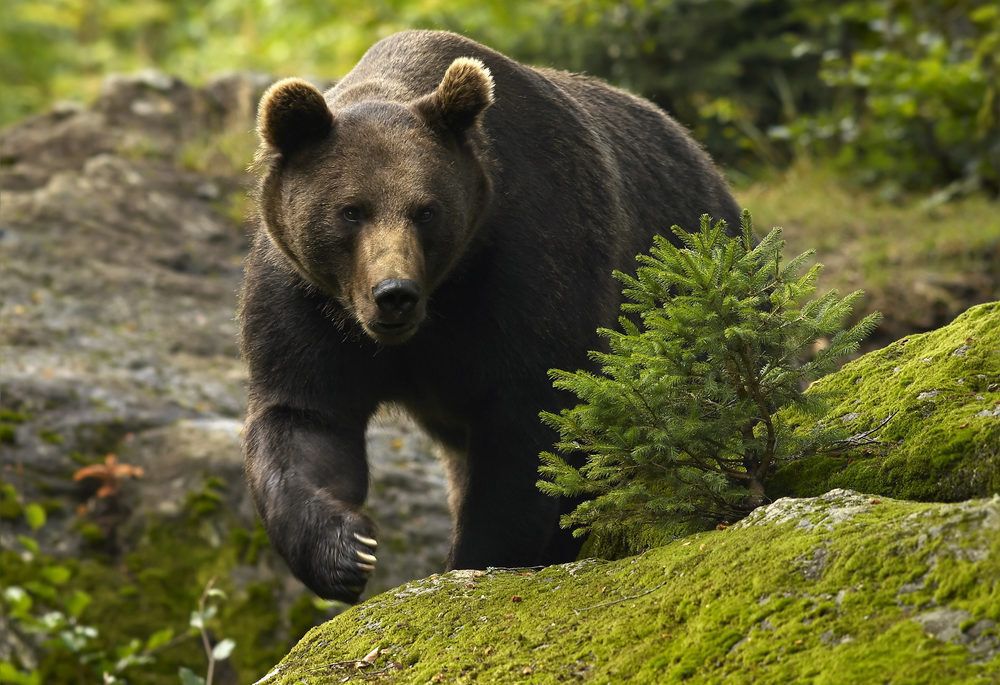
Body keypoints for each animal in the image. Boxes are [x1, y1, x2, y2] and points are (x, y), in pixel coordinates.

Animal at [240, 29, 740, 603]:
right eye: (350, 211)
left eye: (426, 210)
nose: (394, 295)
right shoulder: (305, 303)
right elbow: (305, 417)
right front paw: (346, 551)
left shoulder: (528, 274)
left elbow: (525, 439)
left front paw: (471, 562)